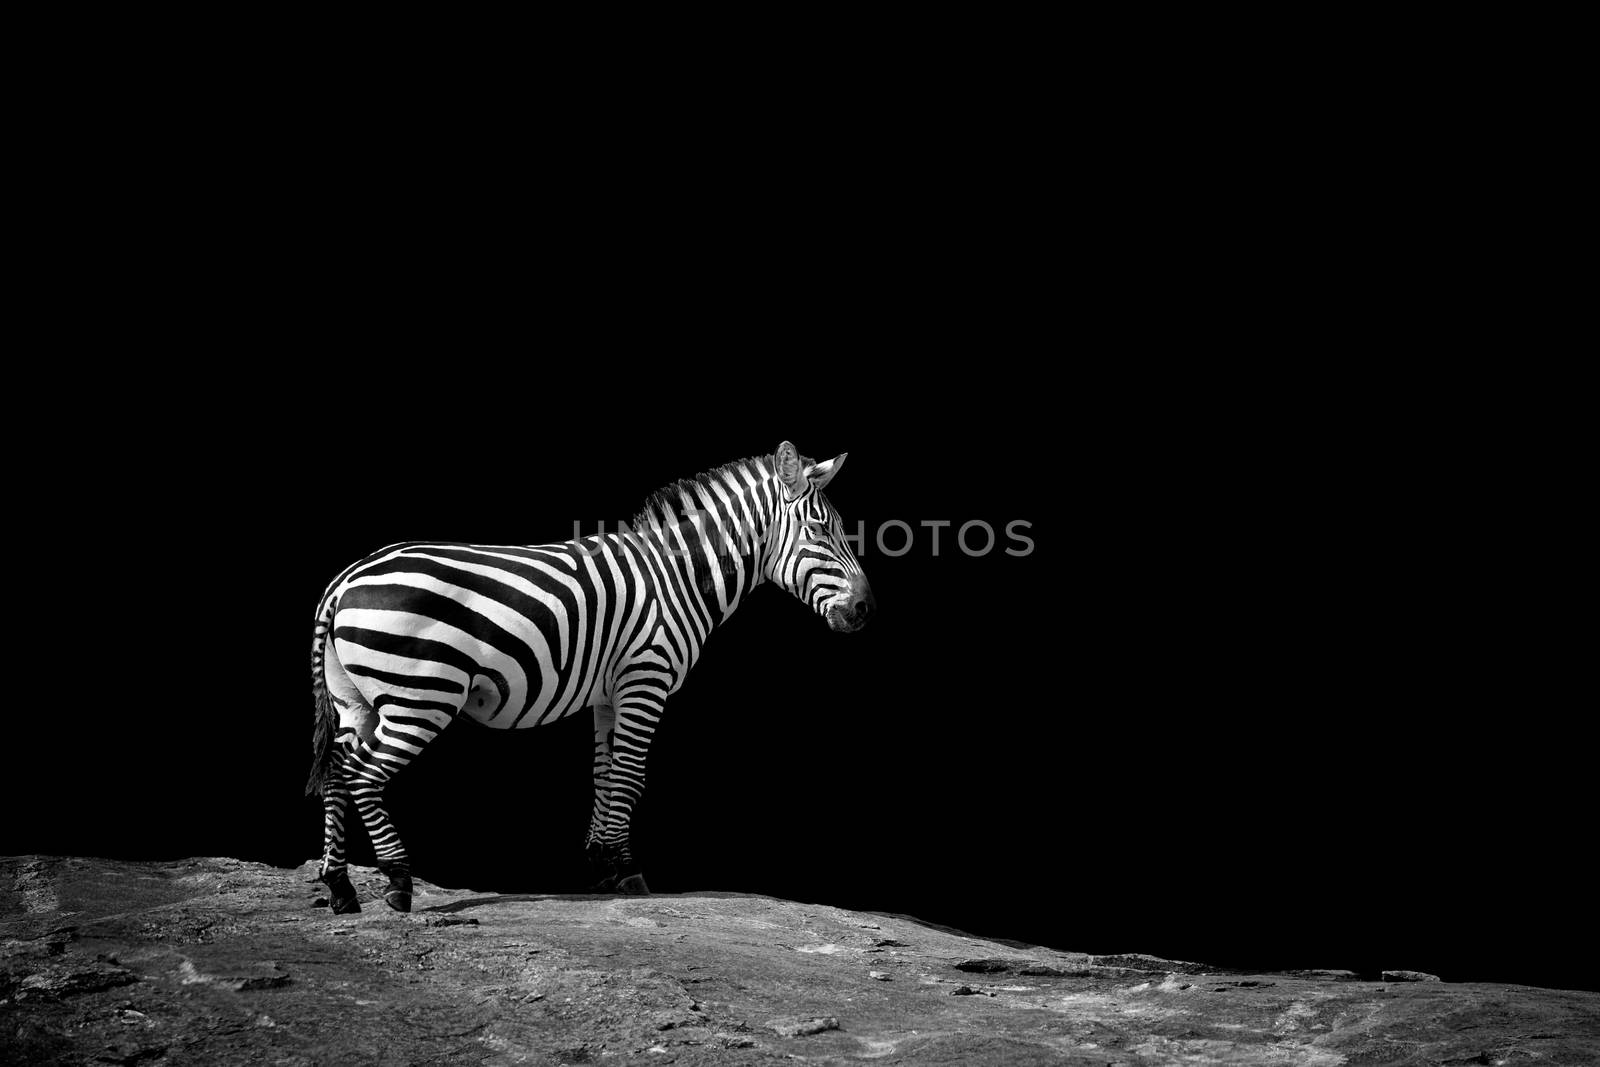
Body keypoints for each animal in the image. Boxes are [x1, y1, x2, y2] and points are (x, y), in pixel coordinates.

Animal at [304, 438, 870, 915]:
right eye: (819, 533)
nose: (865, 609)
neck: (678, 575)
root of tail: (344, 579)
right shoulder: (646, 677)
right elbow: (631, 776)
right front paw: (627, 872)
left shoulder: (608, 692)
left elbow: (604, 773)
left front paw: (600, 864)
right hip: (422, 696)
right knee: (364, 774)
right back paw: (398, 881)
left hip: (354, 700)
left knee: (336, 769)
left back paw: (340, 888)